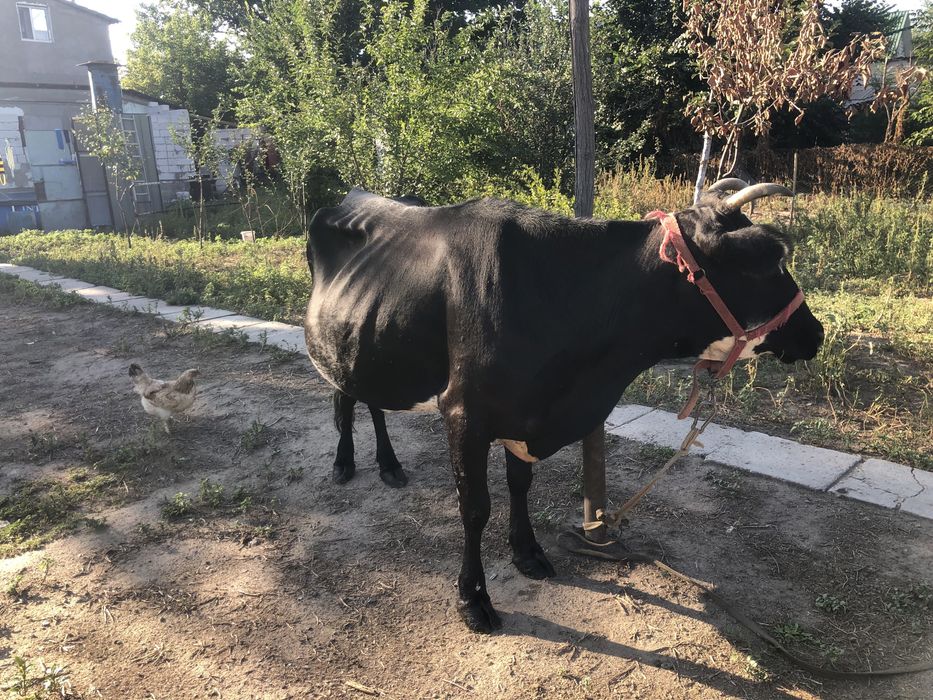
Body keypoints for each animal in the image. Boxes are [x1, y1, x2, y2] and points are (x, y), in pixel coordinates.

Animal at [303, 180, 824, 633]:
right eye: (769, 264)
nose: (815, 332)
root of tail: (349, 195)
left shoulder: (524, 413)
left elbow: (520, 485)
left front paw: (528, 553)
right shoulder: (464, 413)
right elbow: (475, 508)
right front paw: (473, 599)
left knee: (370, 400)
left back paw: (389, 464)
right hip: (339, 342)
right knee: (344, 396)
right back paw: (344, 462)